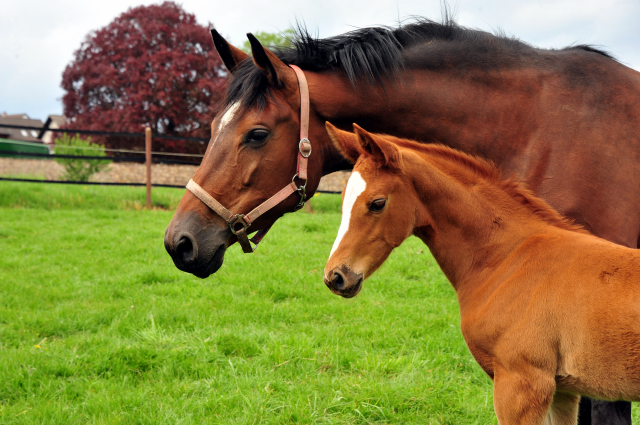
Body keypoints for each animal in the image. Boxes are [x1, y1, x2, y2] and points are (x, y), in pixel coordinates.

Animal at [322, 123, 640, 424]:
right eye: (343, 199)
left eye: (377, 203)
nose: (335, 276)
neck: (507, 258)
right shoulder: (562, 390)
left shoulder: (522, 383)